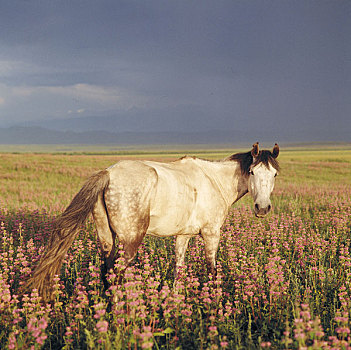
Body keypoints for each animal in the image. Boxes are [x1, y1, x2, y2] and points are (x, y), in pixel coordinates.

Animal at [25, 141, 280, 300]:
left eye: (275, 174)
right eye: (252, 172)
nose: (262, 208)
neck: (214, 180)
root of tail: (108, 173)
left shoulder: (183, 236)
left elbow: (179, 268)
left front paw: (175, 300)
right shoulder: (211, 234)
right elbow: (212, 270)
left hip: (107, 239)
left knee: (106, 273)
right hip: (130, 241)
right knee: (117, 275)